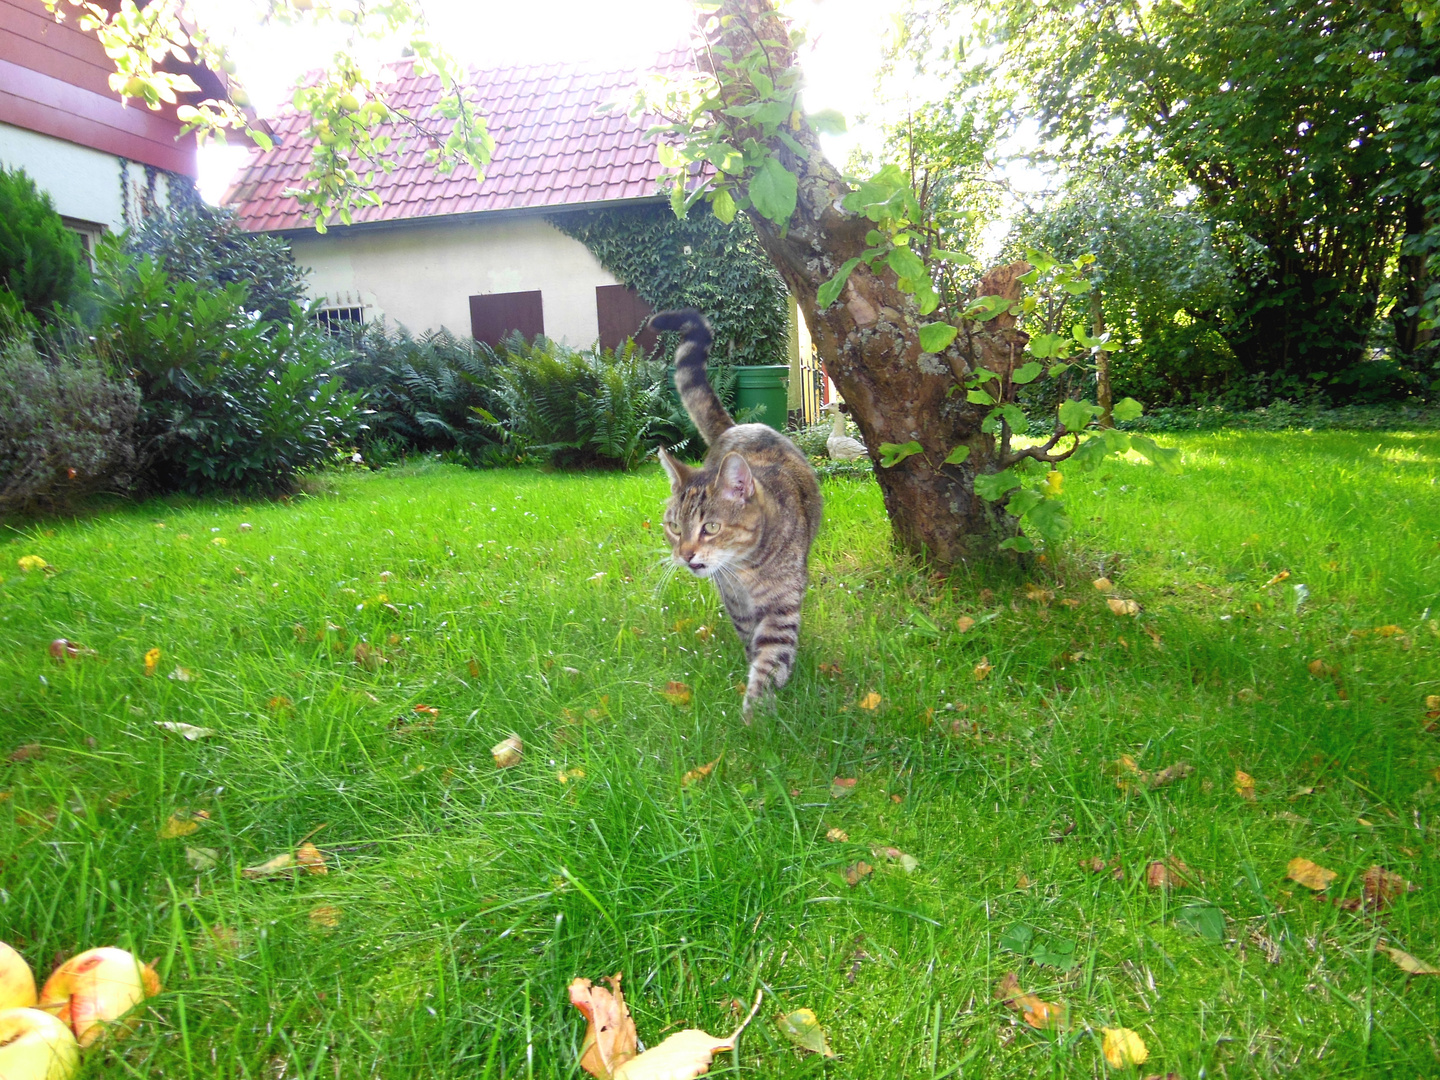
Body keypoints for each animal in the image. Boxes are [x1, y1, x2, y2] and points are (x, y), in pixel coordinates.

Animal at [650, 308, 823, 722]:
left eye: (711, 527)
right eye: (674, 527)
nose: (685, 556)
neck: (746, 568)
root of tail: (737, 426)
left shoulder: (781, 603)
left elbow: (772, 655)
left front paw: (756, 714)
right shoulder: (736, 603)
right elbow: (752, 641)